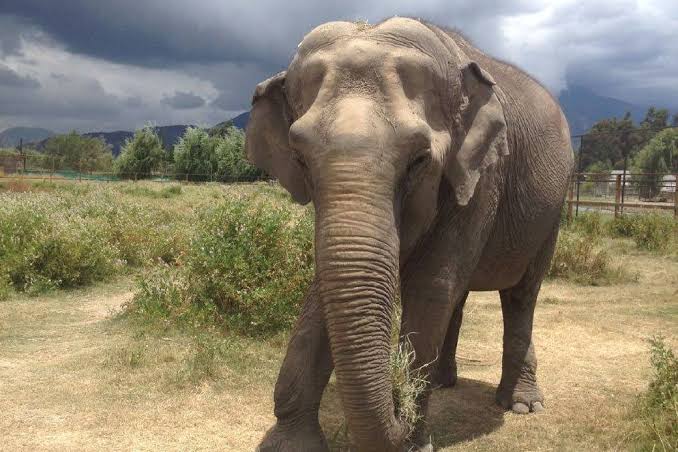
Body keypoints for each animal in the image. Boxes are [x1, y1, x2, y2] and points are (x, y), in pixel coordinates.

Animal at [245, 17, 574, 452]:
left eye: (419, 160)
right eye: (298, 158)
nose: (399, 397)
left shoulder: (482, 176)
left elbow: (430, 286)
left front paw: (414, 438)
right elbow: (325, 288)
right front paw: (290, 444)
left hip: (552, 211)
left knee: (520, 296)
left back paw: (521, 404)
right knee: (460, 296)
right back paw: (444, 382)